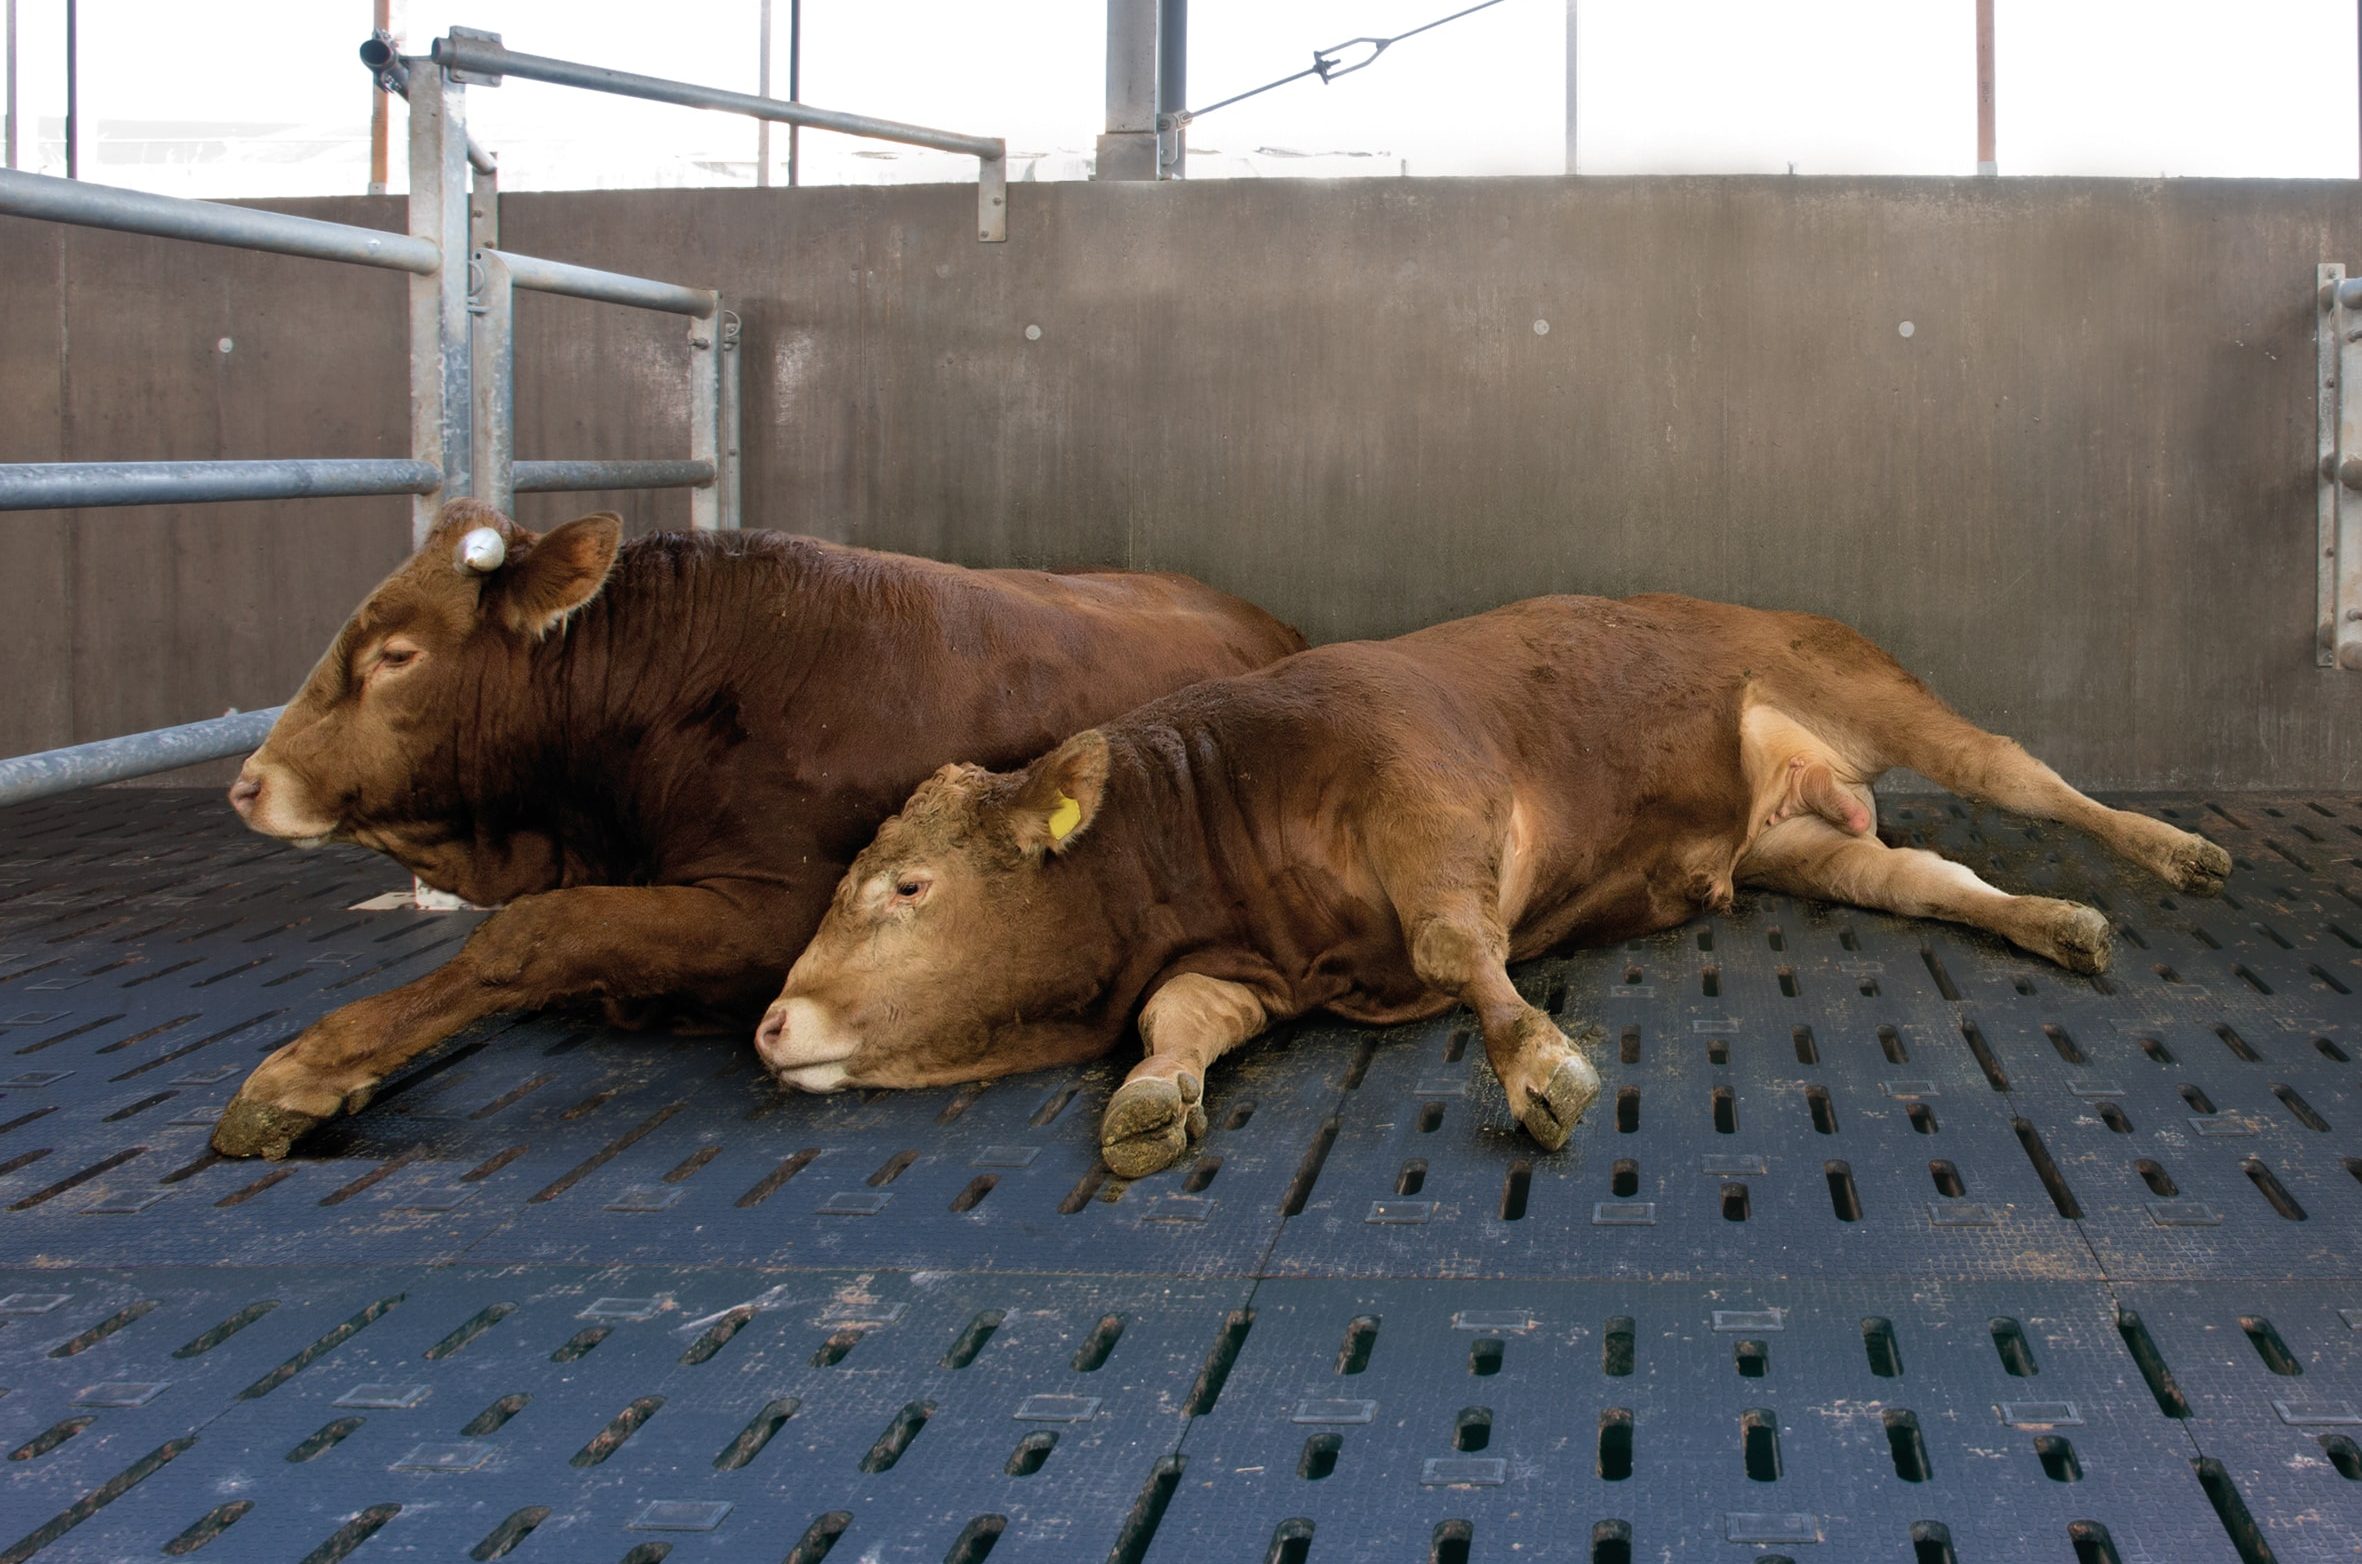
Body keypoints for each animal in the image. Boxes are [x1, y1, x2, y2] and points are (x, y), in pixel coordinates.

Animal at [753, 593, 2232, 1178]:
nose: (769, 1024)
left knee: (2017, 776)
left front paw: (1537, 1065)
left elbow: (1458, 947)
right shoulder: (1244, 966)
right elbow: (1180, 1020)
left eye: (905, 889)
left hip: (1872, 689)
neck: (1226, 821)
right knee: (1917, 873)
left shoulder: (1430, 804)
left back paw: (2166, 852)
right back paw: (2051, 922)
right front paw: (1148, 1097)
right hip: (1792, 837)